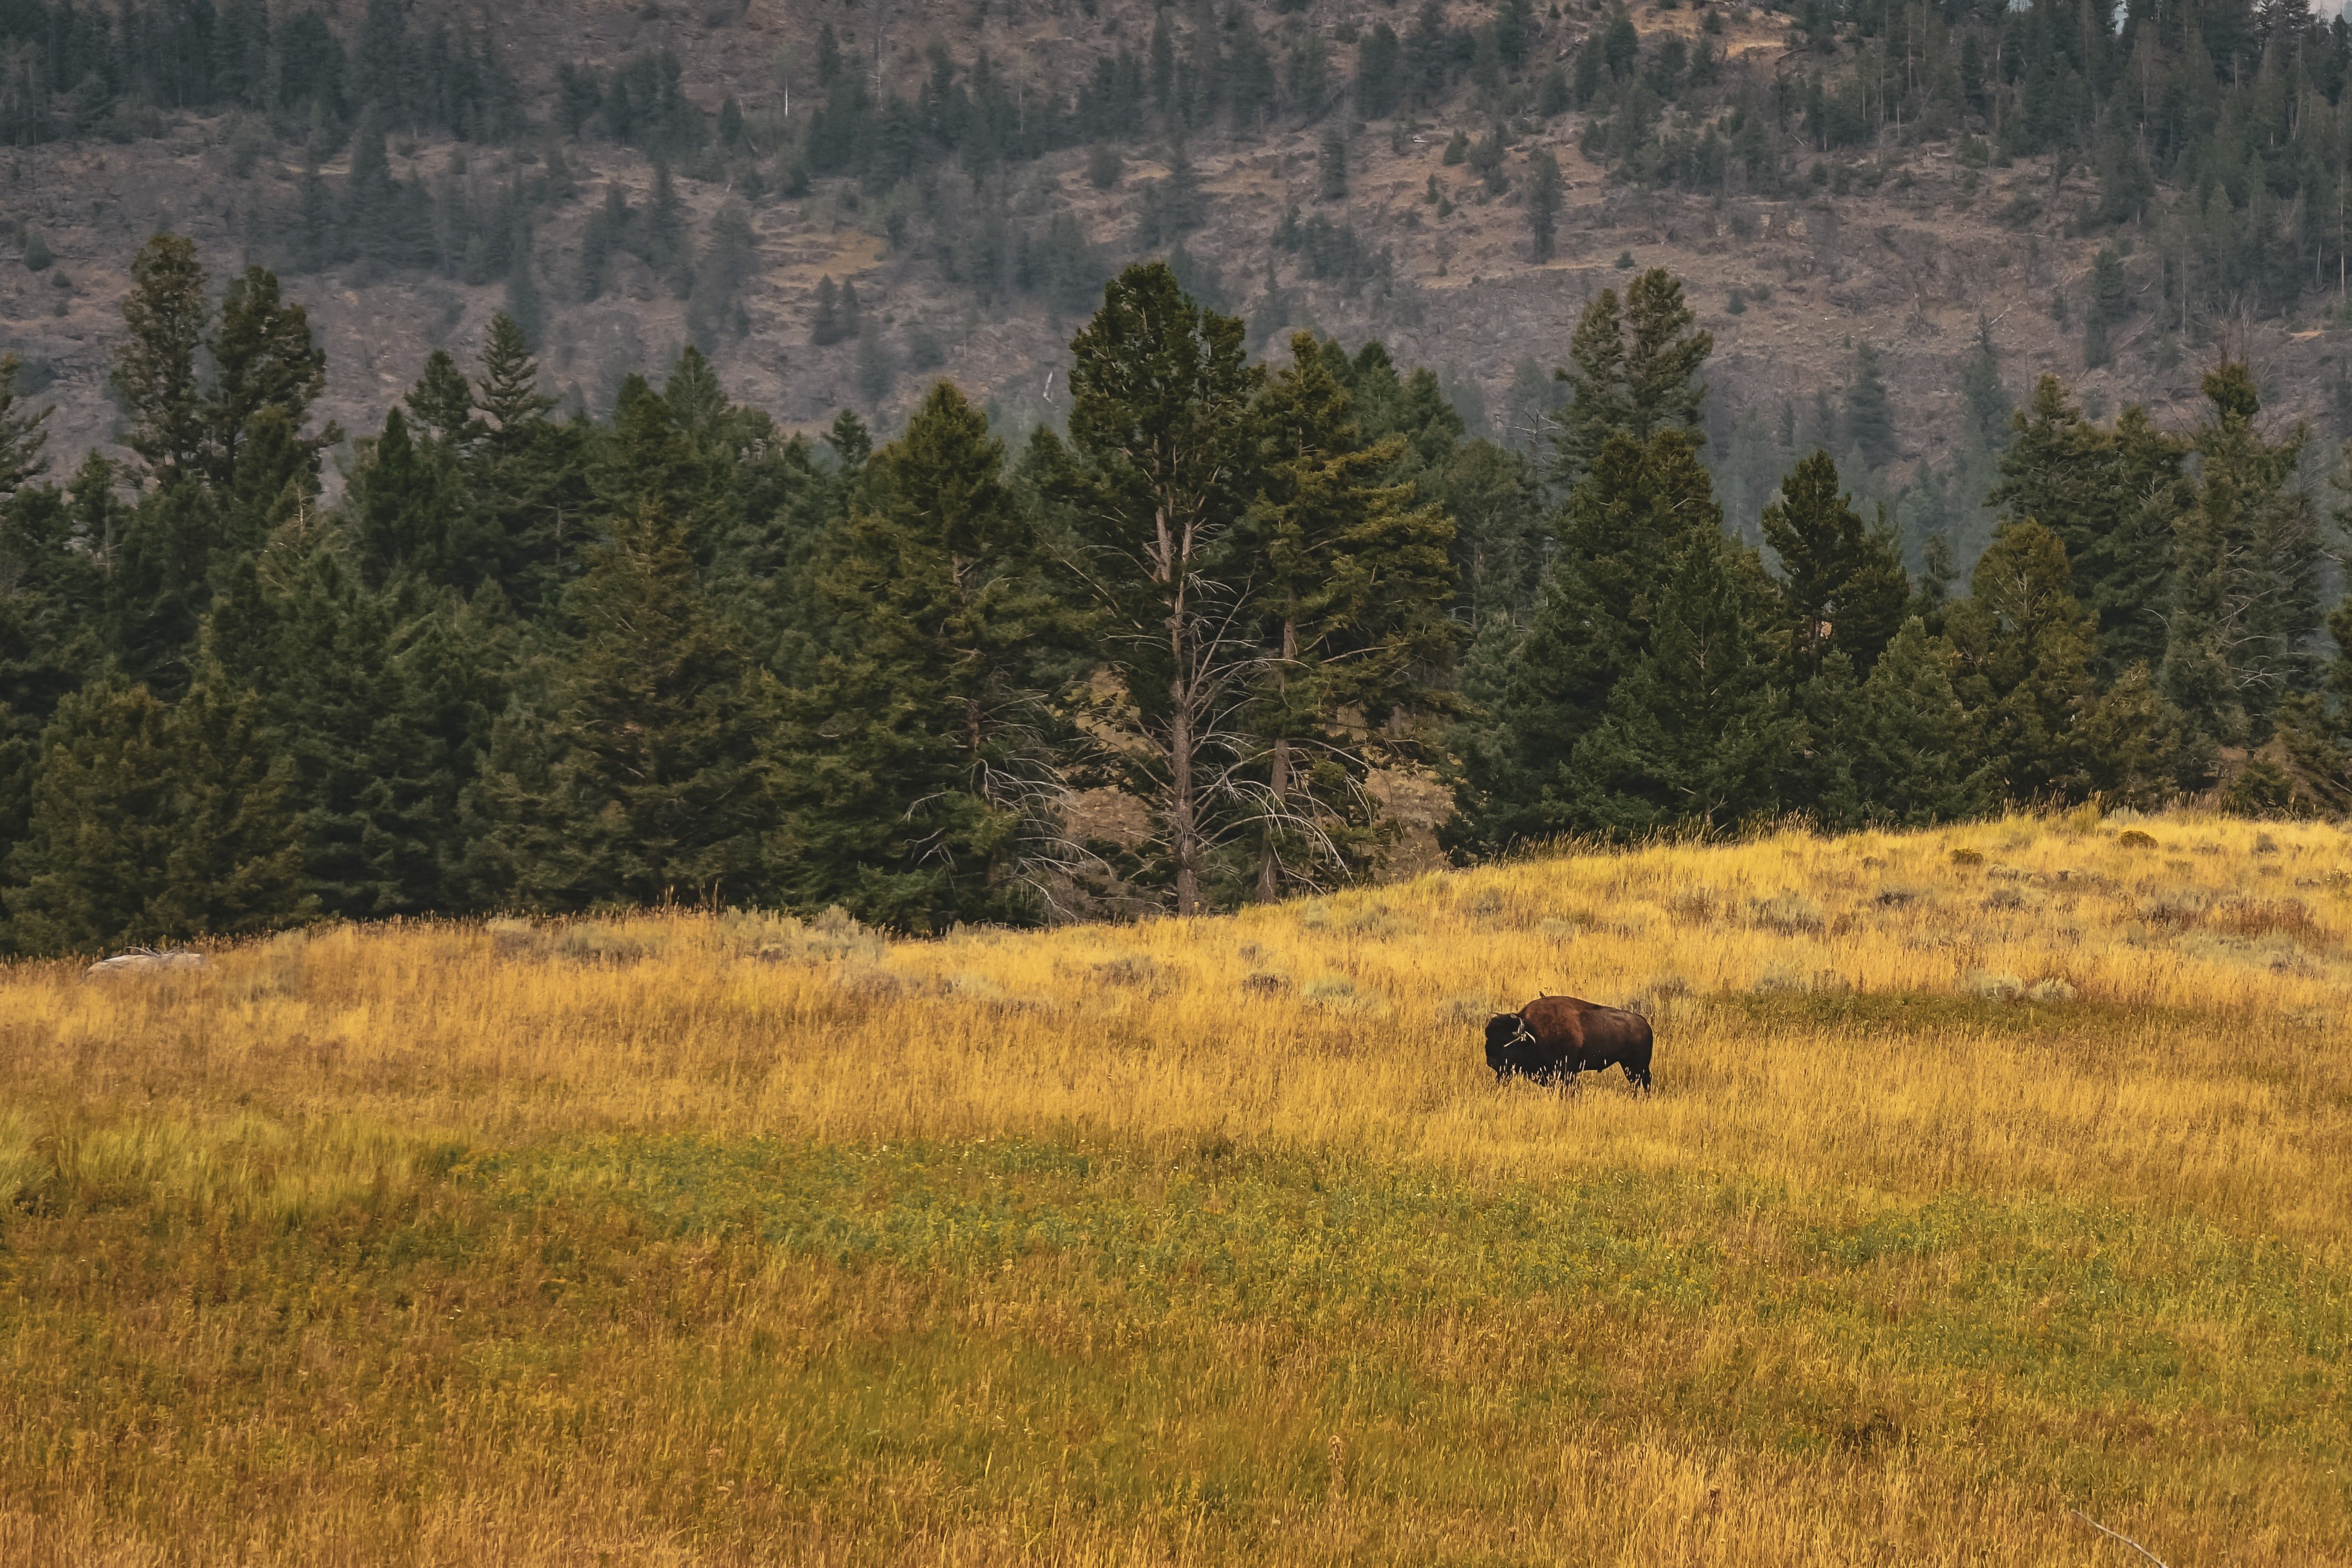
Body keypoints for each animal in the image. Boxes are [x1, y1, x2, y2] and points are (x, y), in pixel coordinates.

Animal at [1484, 994, 1654, 1091]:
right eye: (1488, 1037)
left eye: (1507, 1042)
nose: (1491, 1062)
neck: (1534, 1031)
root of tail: (1644, 1023)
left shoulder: (1566, 1072)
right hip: (1628, 1065)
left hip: (1637, 1065)